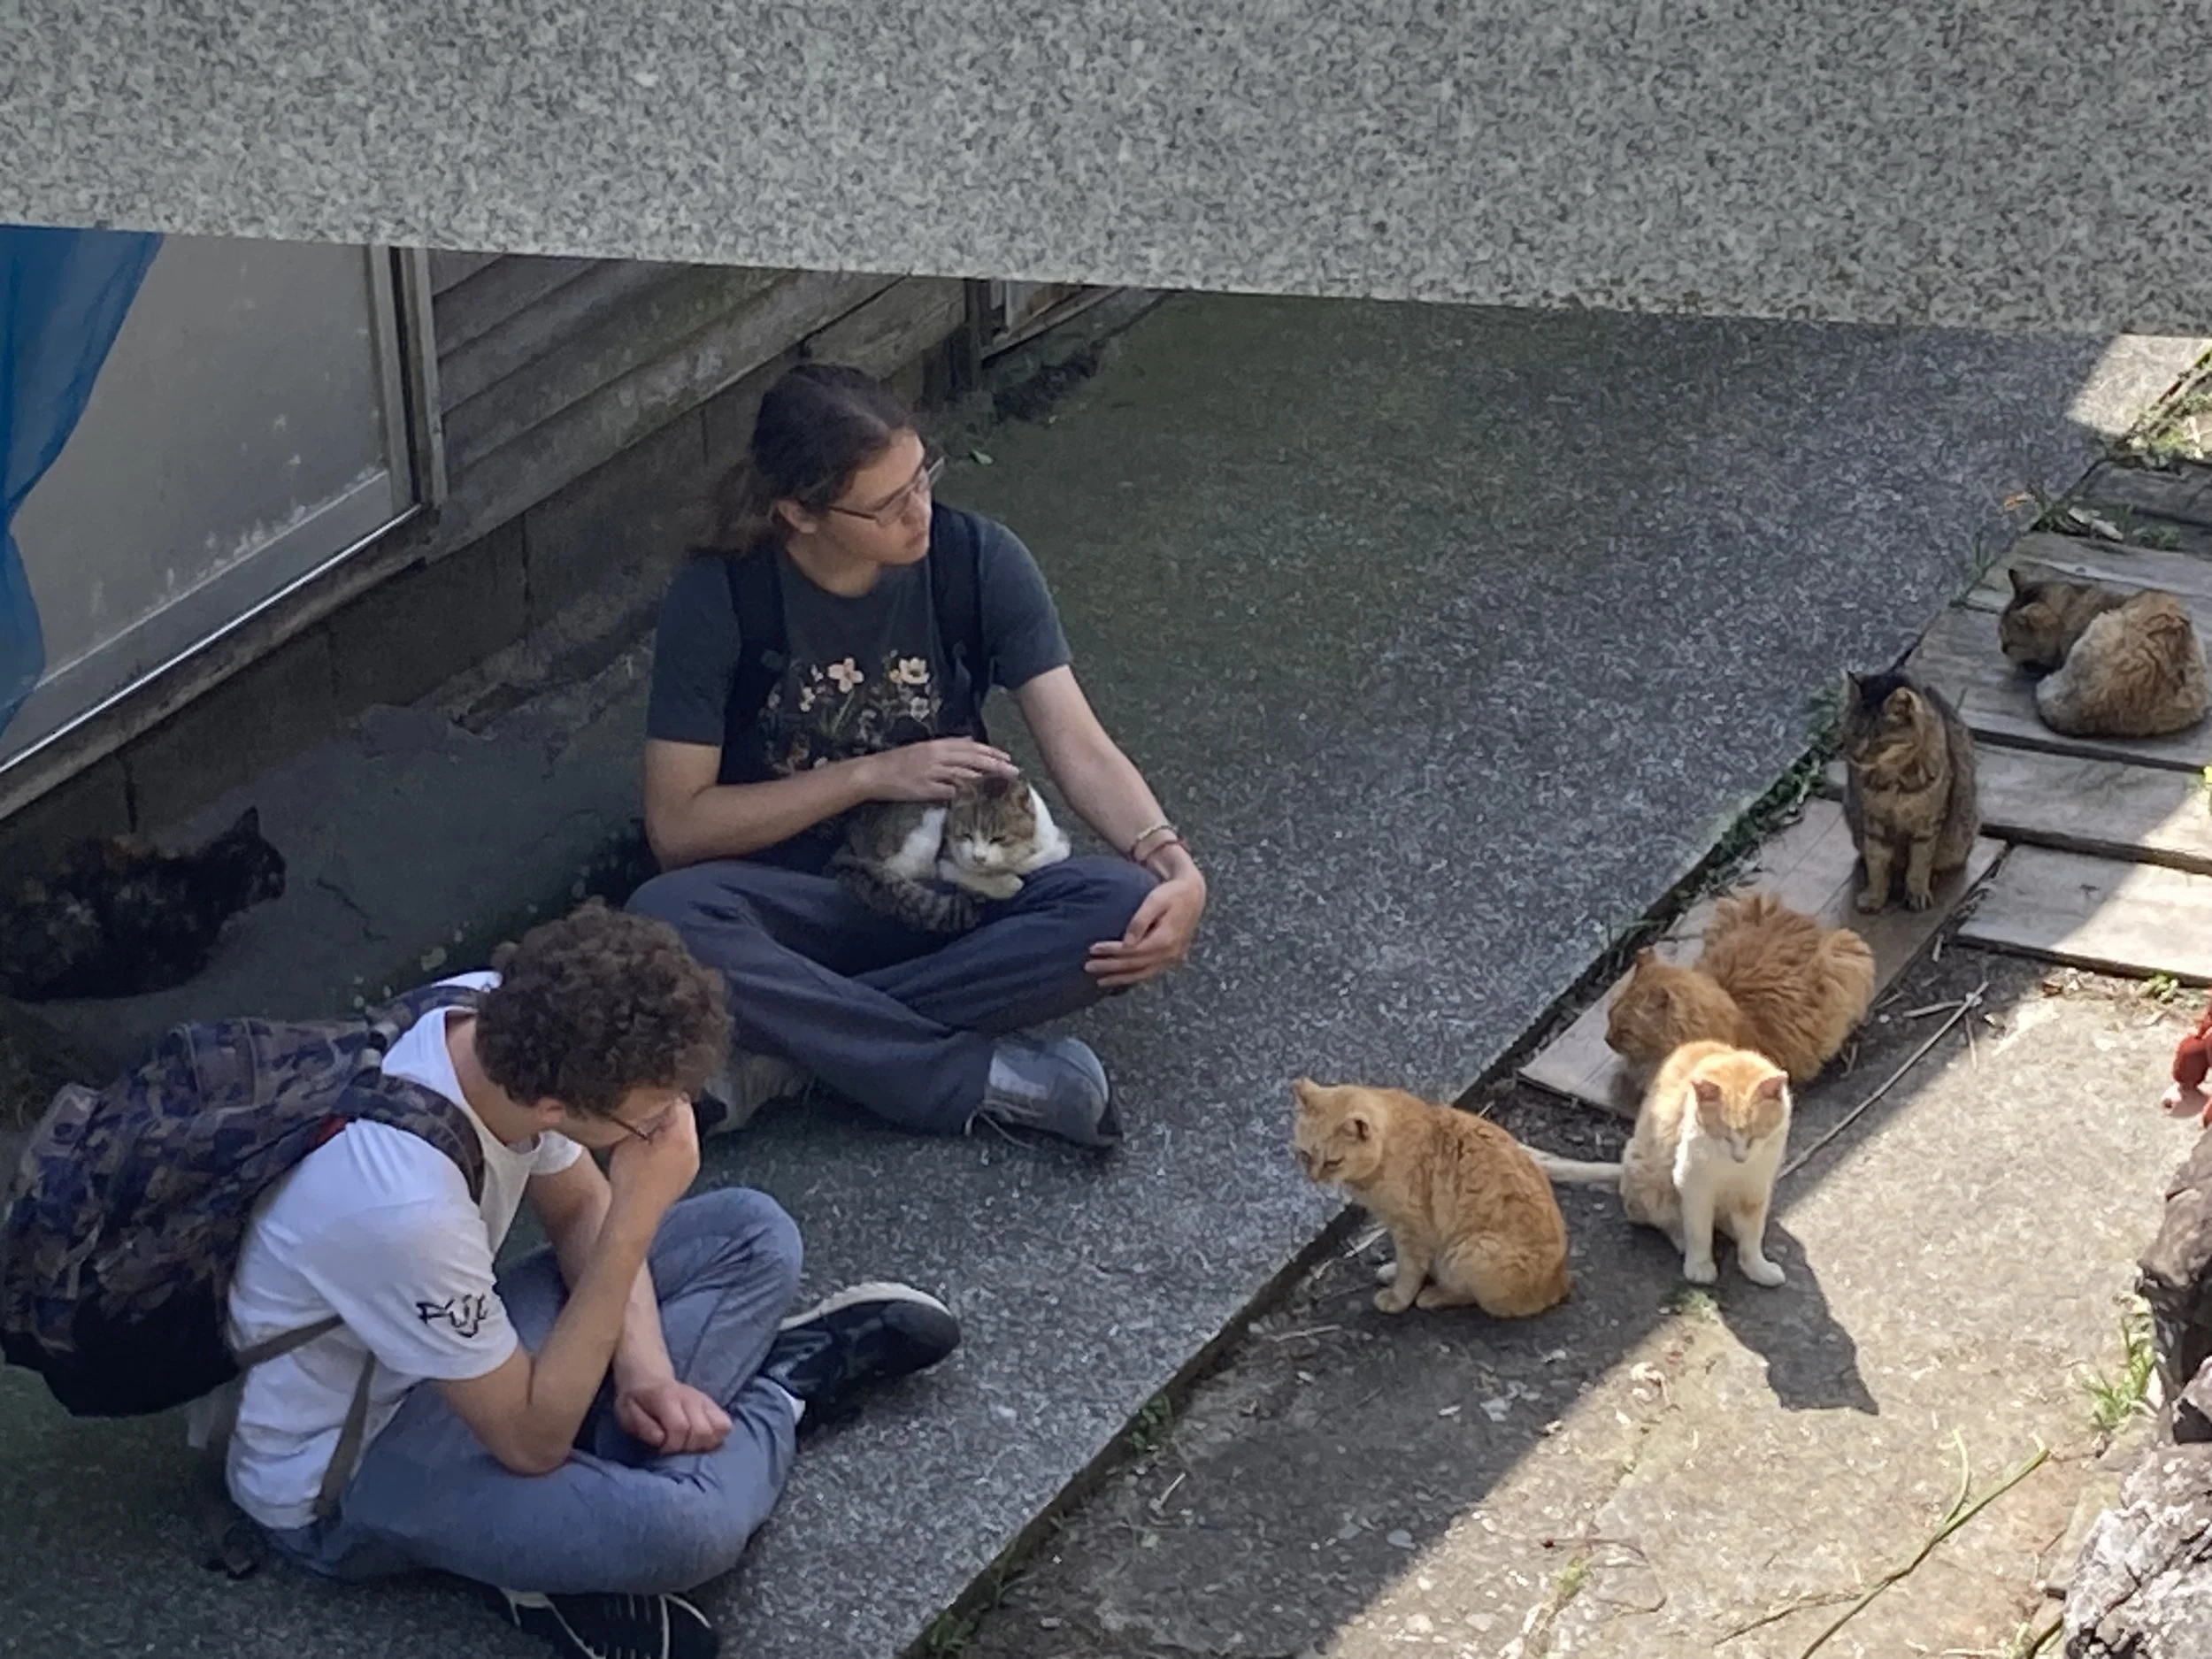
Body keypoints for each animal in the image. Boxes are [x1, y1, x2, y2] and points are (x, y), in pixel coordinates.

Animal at [833, 771, 1071, 934]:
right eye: (966, 835)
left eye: (998, 838)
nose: (979, 857)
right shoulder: (945, 859)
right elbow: (970, 874)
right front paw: (1006, 882)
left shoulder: (1056, 841)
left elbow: (1051, 853)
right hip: (926, 826)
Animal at [1290, 1078, 1572, 1318]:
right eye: (1304, 1155)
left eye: (1332, 1162)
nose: (1313, 1178)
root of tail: (1559, 1282)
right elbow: (1408, 1263)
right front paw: (1393, 1272)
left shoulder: (1412, 1229)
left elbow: (1409, 1270)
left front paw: (1398, 1298)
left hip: (1470, 1250)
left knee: (1472, 1297)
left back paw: (1434, 1295)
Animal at [1532, 1040, 1791, 1287]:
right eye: (1724, 1135)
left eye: (1754, 1136)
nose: (1740, 1157)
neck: (1733, 1168)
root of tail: (1623, 1169)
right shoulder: (1694, 1186)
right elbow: (1699, 1231)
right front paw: (1699, 1266)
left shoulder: (1756, 1188)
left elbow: (1752, 1237)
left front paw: (1758, 1268)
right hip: (1648, 1178)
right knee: (1654, 1217)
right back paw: (1681, 1237)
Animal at [1840, 670, 1979, 913]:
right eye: (1852, 734)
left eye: (1877, 741)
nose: (1855, 758)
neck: (1894, 779)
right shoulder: (1874, 820)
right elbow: (1877, 860)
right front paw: (1875, 896)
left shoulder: (1928, 822)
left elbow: (1920, 862)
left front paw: (1917, 892)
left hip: (1960, 838)